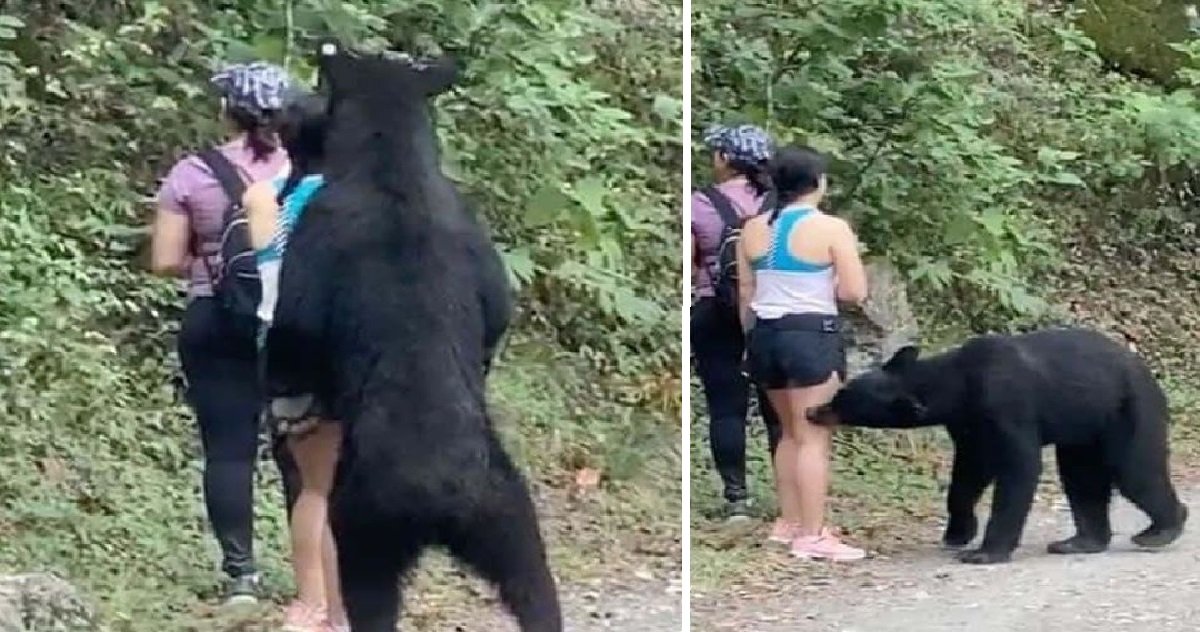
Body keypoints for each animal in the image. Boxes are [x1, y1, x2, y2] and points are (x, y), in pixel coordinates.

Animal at [264, 44, 561, 632]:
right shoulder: (474, 237)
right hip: (504, 508)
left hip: (366, 519)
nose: (291, 110)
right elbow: (498, 311)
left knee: (369, 591)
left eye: (320, 98)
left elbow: (295, 330)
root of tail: (440, 497)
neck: (393, 166)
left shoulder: (317, 236)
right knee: (535, 583)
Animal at [811, 328, 1185, 566]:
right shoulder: (968, 424)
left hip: (1127, 409)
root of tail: (1145, 369)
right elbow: (969, 471)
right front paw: (958, 532)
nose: (812, 411)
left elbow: (1019, 466)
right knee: (1081, 478)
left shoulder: (1005, 403)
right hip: (1083, 428)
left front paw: (984, 552)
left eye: (841, 401)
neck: (957, 384)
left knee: (1135, 470)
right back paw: (1079, 541)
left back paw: (1162, 529)